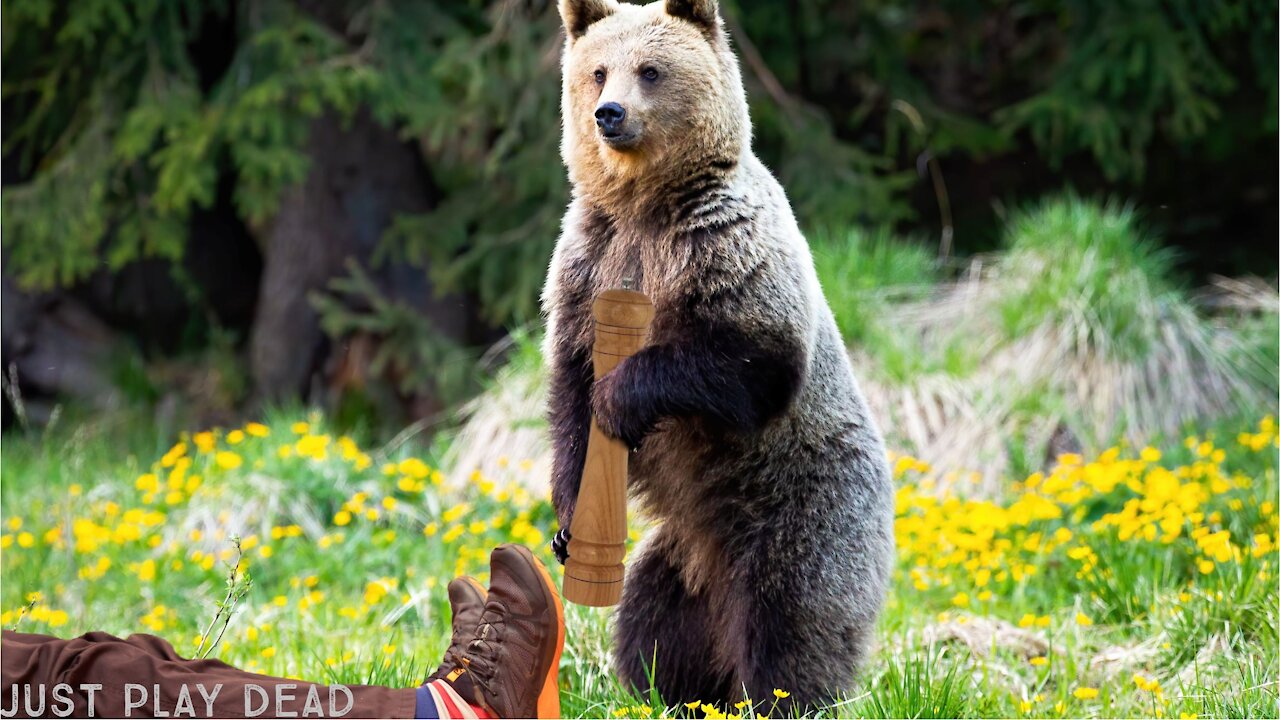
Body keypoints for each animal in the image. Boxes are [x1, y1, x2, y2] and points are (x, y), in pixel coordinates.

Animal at [545, 0, 896, 707]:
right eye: (597, 71)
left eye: (650, 70)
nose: (609, 114)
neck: (646, 205)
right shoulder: (588, 263)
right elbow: (569, 394)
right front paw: (568, 524)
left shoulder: (725, 247)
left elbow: (749, 361)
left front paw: (621, 397)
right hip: (681, 552)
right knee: (655, 621)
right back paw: (671, 692)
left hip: (806, 512)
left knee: (794, 622)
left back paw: (778, 696)